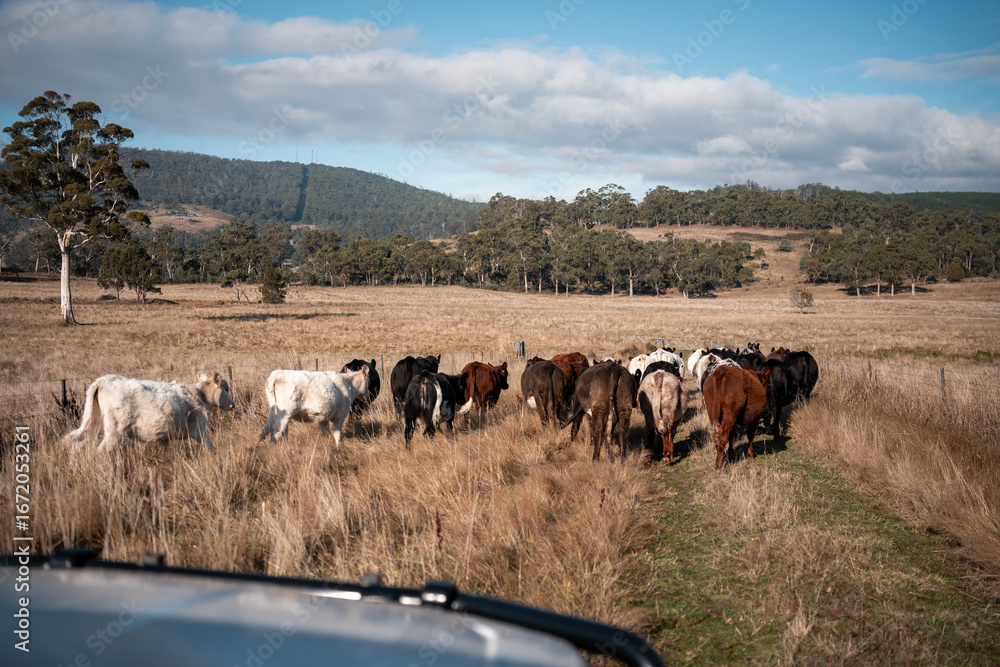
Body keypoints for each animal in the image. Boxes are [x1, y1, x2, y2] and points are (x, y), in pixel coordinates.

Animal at [63, 372, 234, 452]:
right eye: (226, 389)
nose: (233, 405)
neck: (200, 395)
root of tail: (105, 380)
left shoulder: (165, 437)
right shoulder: (199, 430)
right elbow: (210, 447)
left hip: (95, 424)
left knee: (77, 444)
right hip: (113, 433)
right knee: (99, 451)